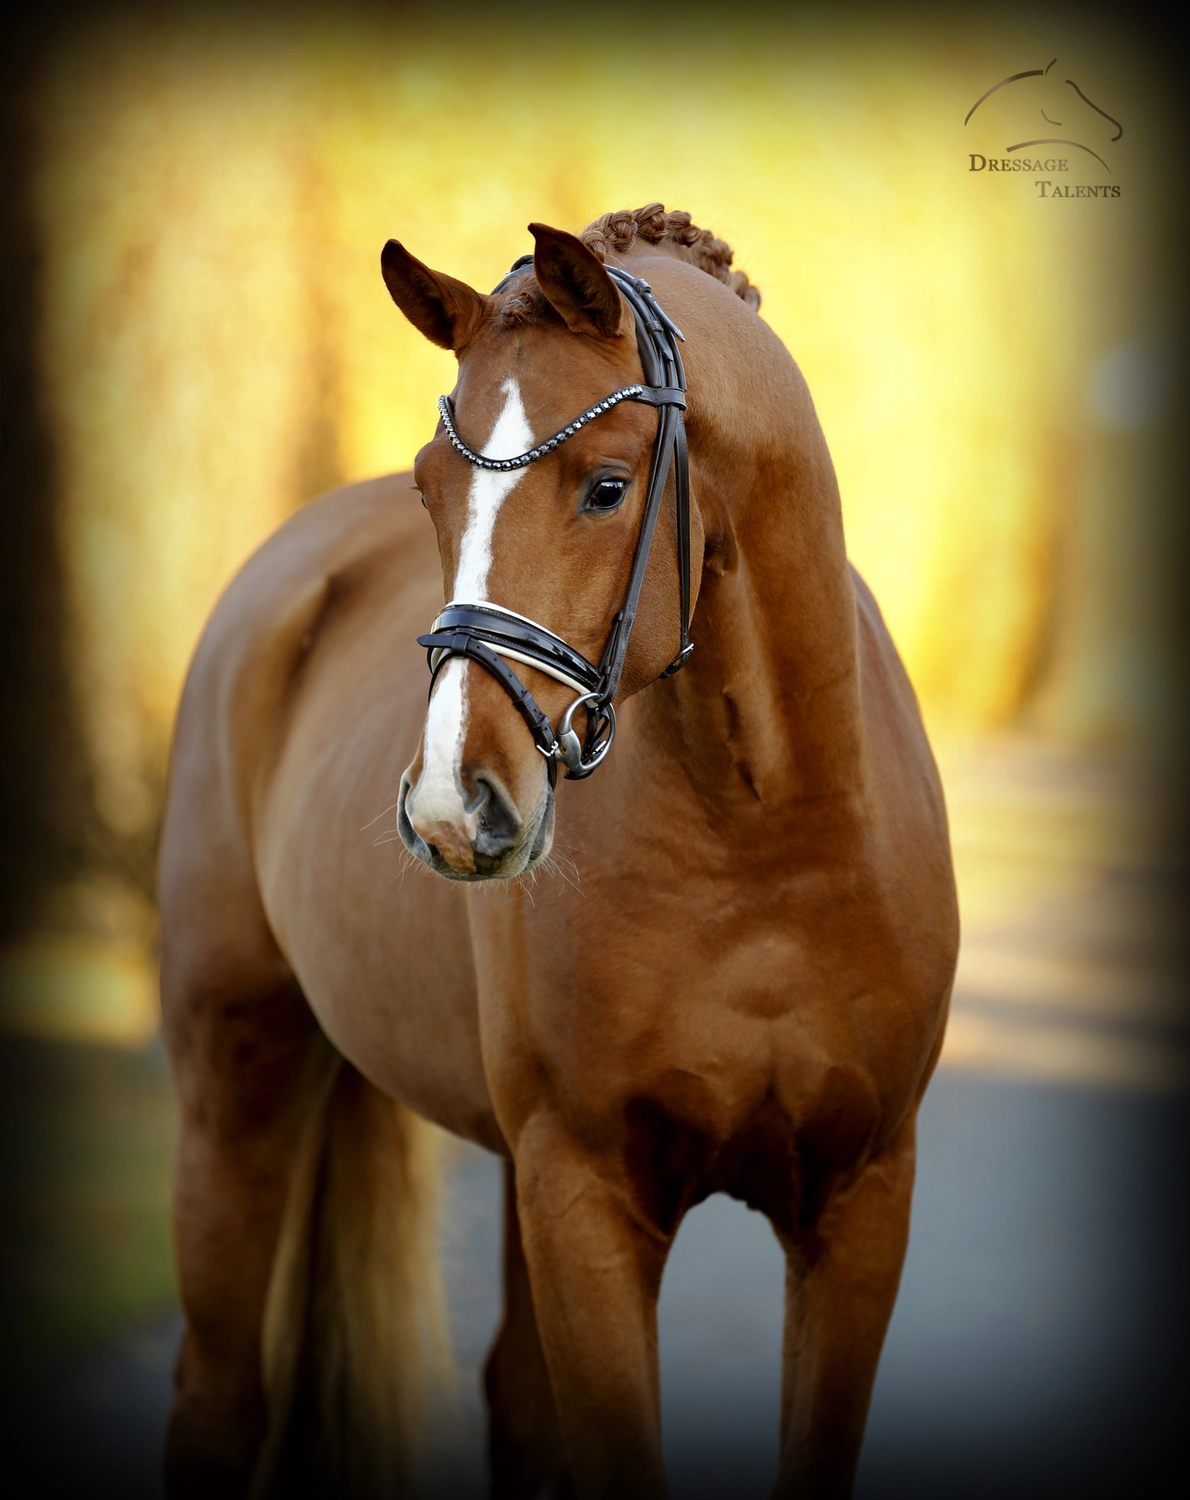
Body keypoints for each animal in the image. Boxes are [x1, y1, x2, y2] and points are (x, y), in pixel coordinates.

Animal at [158, 202, 959, 1499]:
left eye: (605, 486)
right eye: (431, 487)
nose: (453, 808)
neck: (762, 846)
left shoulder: (857, 1202)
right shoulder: (584, 1196)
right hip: (235, 1081)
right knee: (219, 1400)